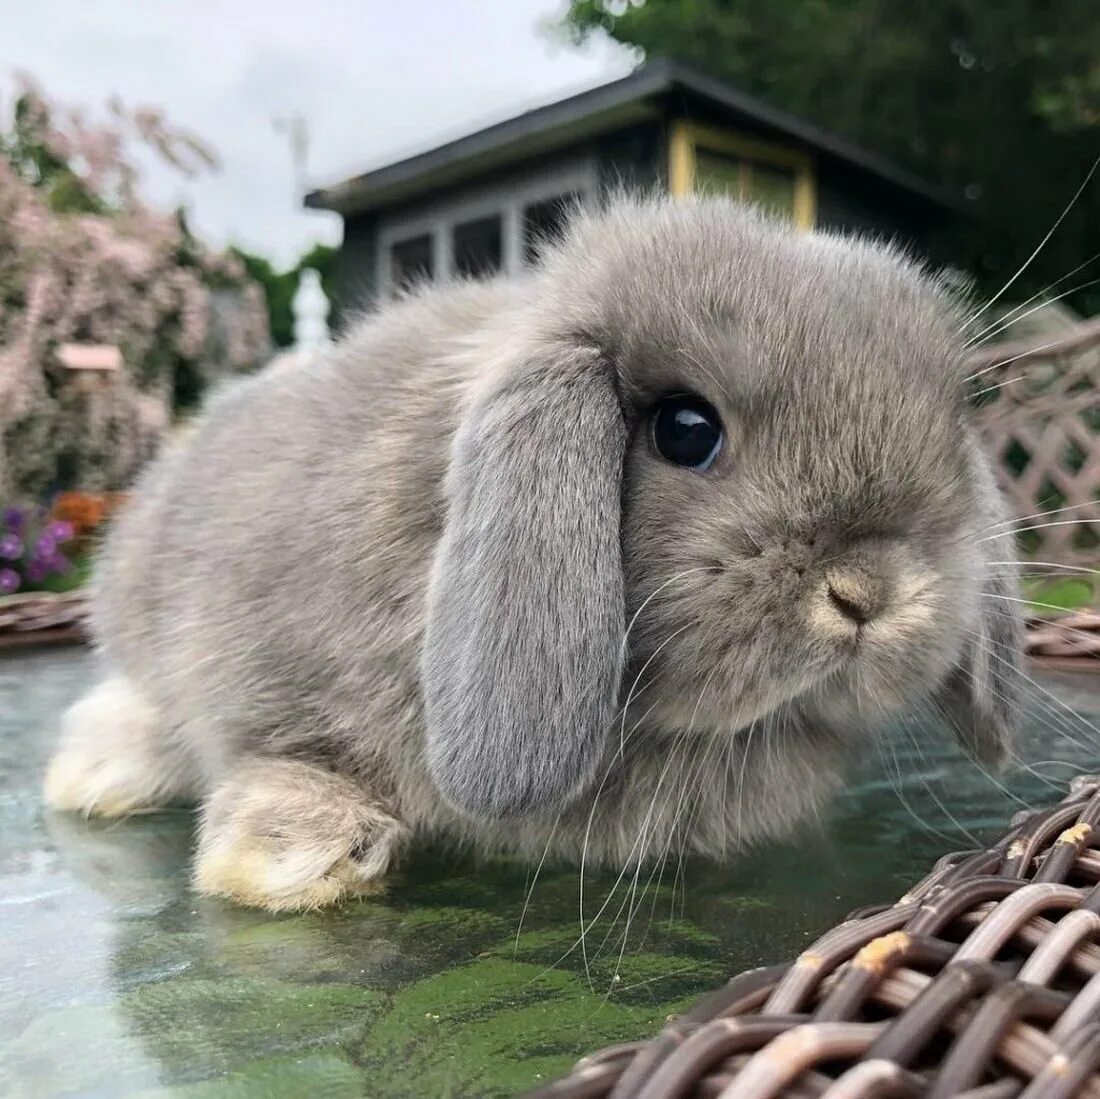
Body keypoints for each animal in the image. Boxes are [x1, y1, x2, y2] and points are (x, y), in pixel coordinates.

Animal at [42, 195, 1020, 910]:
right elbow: (281, 756)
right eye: (686, 429)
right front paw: (291, 861)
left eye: (949, 425)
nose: (871, 591)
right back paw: (95, 774)